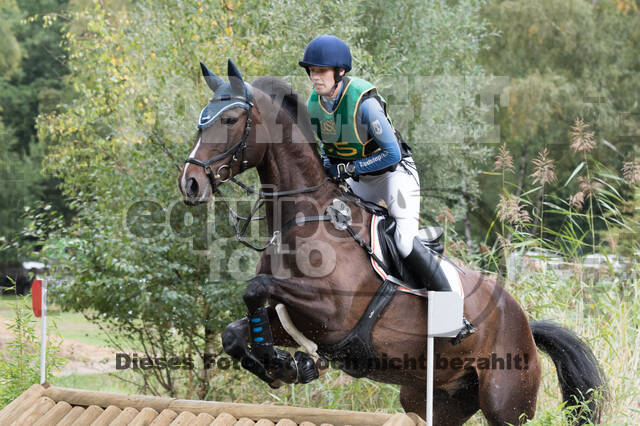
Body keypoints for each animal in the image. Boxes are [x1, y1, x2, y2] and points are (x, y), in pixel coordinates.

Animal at [178, 60, 607, 425]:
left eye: (231, 119)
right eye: (201, 121)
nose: (190, 183)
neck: (307, 218)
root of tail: (526, 325)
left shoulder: (332, 313)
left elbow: (256, 287)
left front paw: (286, 363)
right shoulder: (295, 317)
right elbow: (235, 332)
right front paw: (285, 365)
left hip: (507, 403)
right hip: (436, 397)